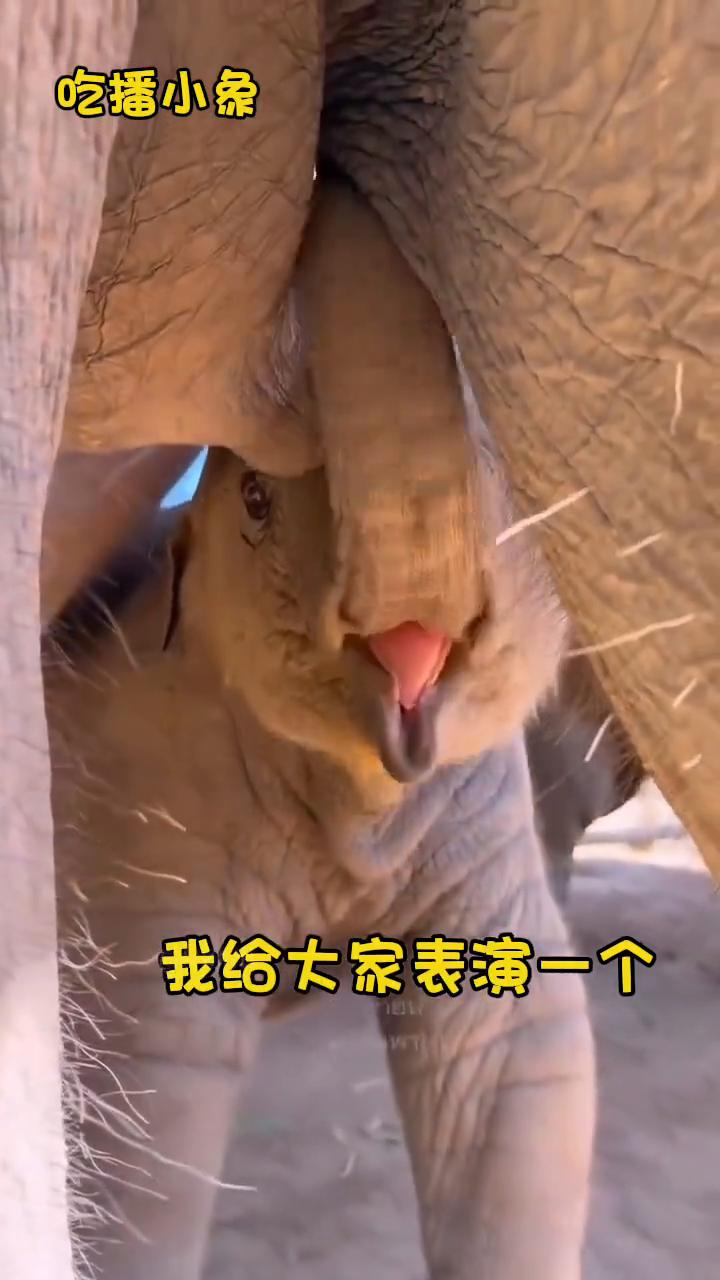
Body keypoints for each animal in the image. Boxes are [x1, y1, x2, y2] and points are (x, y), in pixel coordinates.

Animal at [1, 1, 717, 1275]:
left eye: (515, 496)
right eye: (254, 502)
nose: (339, 131)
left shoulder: (474, 804)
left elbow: (520, 1050)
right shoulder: (144, 809)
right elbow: (158, 1087)